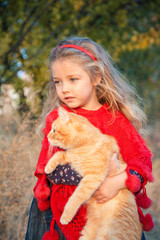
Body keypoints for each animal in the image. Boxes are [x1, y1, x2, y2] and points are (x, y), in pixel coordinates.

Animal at [44, 107, 142, 240]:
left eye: (54, 130)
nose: (48, 136)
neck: (82, 145)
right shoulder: (71, 158)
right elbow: (59, 154)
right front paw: (48, 168)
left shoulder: (92, 177)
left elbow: (76, 197)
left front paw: (66, 215)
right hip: (87, 234)